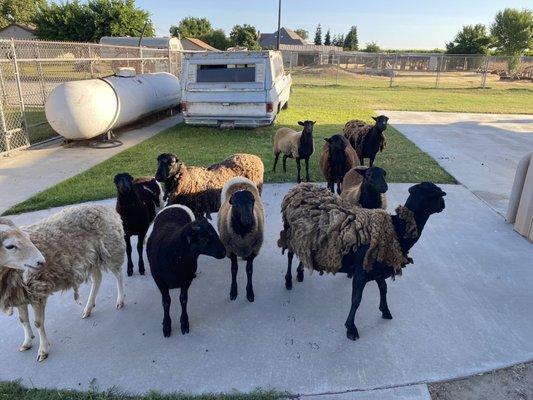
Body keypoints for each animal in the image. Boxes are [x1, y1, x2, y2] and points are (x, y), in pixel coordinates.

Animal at [0, 206, 125, 362]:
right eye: (9, 246)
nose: (41, 262)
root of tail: (106, 209)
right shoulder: (18, 294)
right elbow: (23, 320)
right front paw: (27, 342)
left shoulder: (37, 291)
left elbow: (38, 323)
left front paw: (43, 350)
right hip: (92, 257)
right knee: (98, 278)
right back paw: (88, 308)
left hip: (111, 248)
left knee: (118, 274)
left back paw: (120, 300)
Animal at [147, 203, 225, 338]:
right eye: (204, 240)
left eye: (215, 233)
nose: (224, 252)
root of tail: (174, 205)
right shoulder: (159, 281)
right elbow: (166, 302)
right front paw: (166, 325)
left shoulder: (186, 280)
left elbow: (183, 300)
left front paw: (184, 323)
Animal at [278, 181, 444, 340]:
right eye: (437, 195)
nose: (443, 205)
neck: (396, 229)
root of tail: (300, 186)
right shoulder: (361, 273)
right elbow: (356, 300)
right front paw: (351, 328)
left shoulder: (375, 270)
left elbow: (384, 289)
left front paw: (385, 310)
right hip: (290, 232)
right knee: (290, 255)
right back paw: (288, 280)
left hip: (305, 238)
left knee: (303, 252)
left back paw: (300, 273)